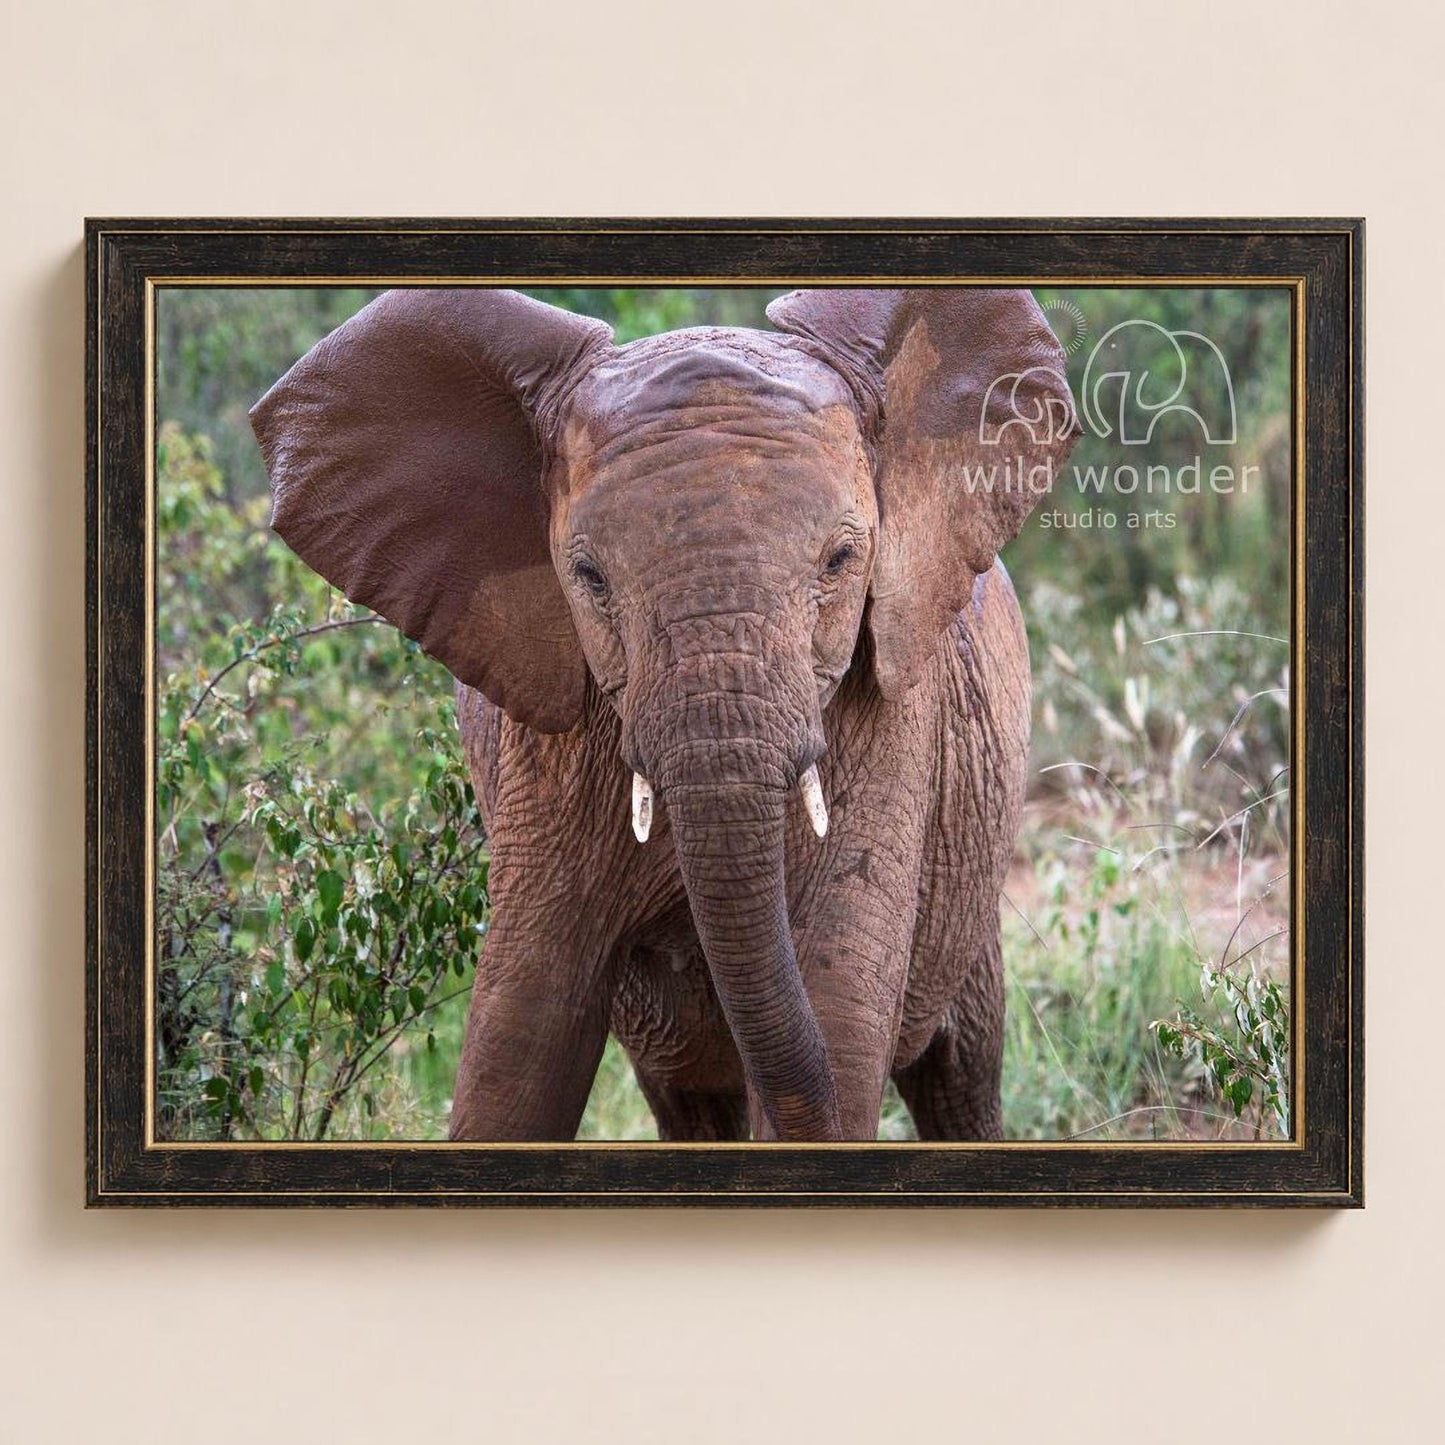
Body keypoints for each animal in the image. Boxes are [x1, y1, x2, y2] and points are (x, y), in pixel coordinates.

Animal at [250, 286, 1079, 1143]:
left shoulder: (891, 712)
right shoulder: (546, 761)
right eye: (588, 577)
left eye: (841, 560)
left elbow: (839, 1023)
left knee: (959, 1077)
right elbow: (518, 1044)